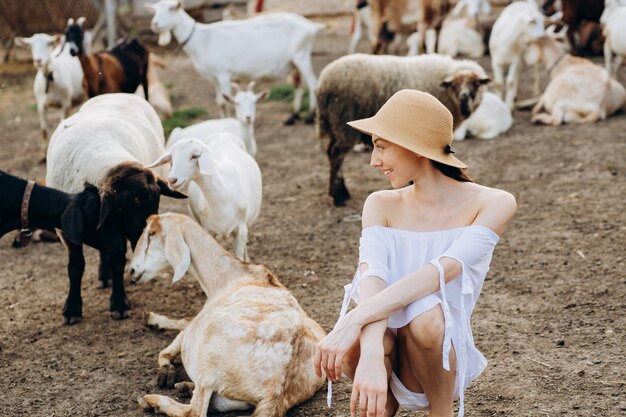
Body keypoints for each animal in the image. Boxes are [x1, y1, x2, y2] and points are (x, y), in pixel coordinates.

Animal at [46, 93, 184, 322]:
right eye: (120, 208)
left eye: (157, 200)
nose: (141, 241)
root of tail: (118, 94)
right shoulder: (66, 232)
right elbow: (75, 267)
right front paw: (72, 309)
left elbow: (117, 260)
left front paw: (119, 304)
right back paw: (104, 276)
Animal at [130, 211, 326, 416]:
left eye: (151, 233)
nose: (132, 271)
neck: (229, 277)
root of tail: (277, 390)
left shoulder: (191, 330)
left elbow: (170, 344)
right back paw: (185, 387)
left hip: (210, 357)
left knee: (195, 410)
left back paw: (152, 400)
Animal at [145, 0, 322, 123]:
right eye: (154, 10)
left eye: (171, 8)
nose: (154, 24)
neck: (202, 39)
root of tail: (311, 26)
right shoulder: (215, 78)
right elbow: (220, 102)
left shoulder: (224, 74)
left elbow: (226, 101)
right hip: (294, 62)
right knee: (298, 84)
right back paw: (294, 115)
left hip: (301, 56)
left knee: (312, 84)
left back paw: (310, 116)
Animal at [316, 53, 488, 206]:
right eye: (454, 85)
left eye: (476, 85)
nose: (465, 108)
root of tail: (324, 83)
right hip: (343, 123)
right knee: (337, 155)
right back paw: (338, 197)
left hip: (334, 125)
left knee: (330, 152)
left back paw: (340, 191)